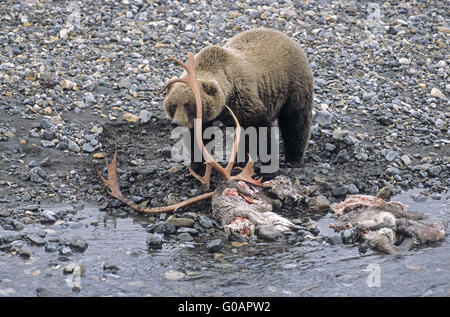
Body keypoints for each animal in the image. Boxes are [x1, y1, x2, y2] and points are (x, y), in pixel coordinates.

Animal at [163, 26, 314, 164]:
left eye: (188, 104)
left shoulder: (241, 99)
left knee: (295, 120)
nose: (176, 123)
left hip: (293, 84)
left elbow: (258, 128)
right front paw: (199, 161)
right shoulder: (204, 118)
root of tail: (287, 37)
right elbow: (200, 137)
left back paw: (294, 157)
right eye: (173, 105)